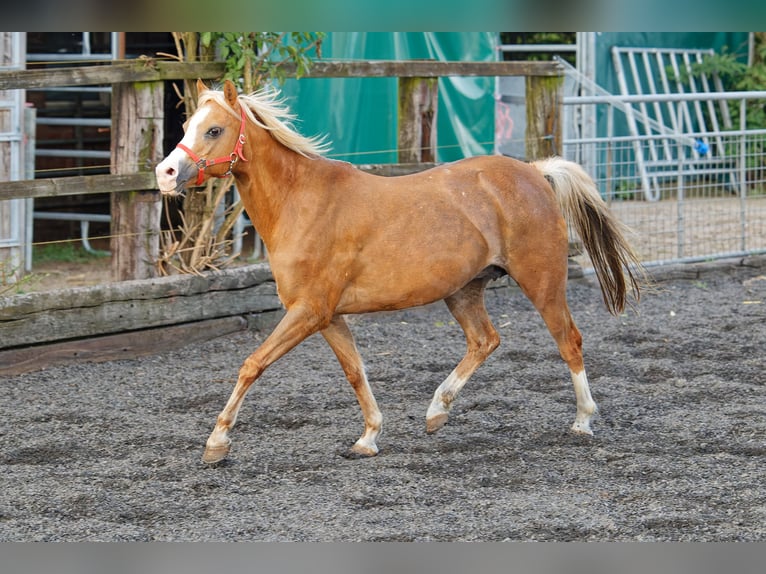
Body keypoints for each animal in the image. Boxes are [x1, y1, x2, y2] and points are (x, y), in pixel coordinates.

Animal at [154, 80, 640, 468]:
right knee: (485, 341)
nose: (166, 173)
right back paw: (436, 412)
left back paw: (583, 421)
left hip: (542, 281)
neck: (301, 202)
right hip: (463, 290)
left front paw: (217, 442)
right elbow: (356, 373)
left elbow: (252, 364)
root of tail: (535, 172)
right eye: (187, 126)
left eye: (214, 130)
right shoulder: (328, 316)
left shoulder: (308, 311)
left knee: (568, 341)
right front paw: (369, 437)